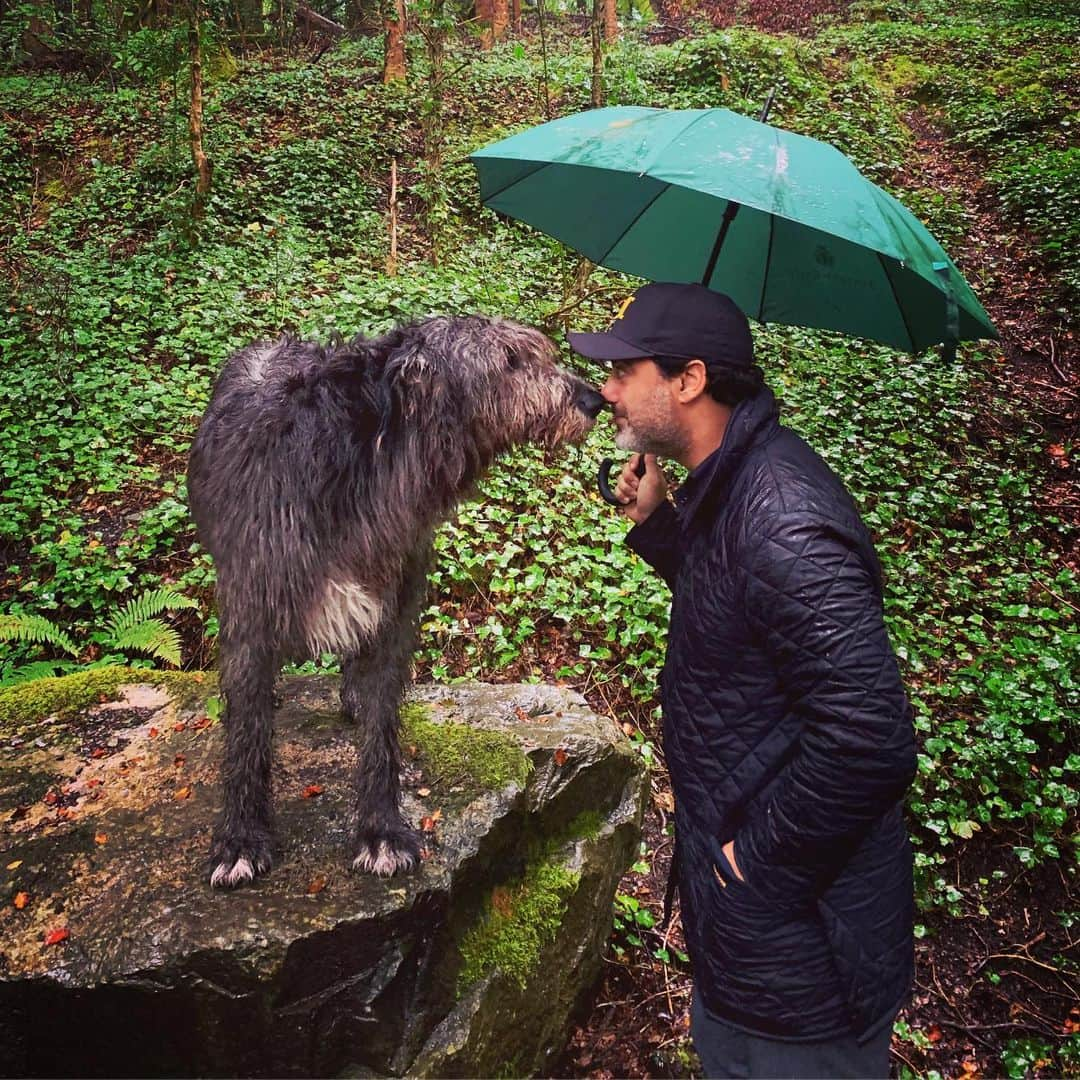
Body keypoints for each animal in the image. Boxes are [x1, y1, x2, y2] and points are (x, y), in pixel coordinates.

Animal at [187, 313, 609, 885]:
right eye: (510, 361)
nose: (594, 400)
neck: (366, 458)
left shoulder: (396, 604)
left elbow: (382, 724)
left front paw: (380, 828)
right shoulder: (254, 601)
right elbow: (247, 735)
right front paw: (239, 838)